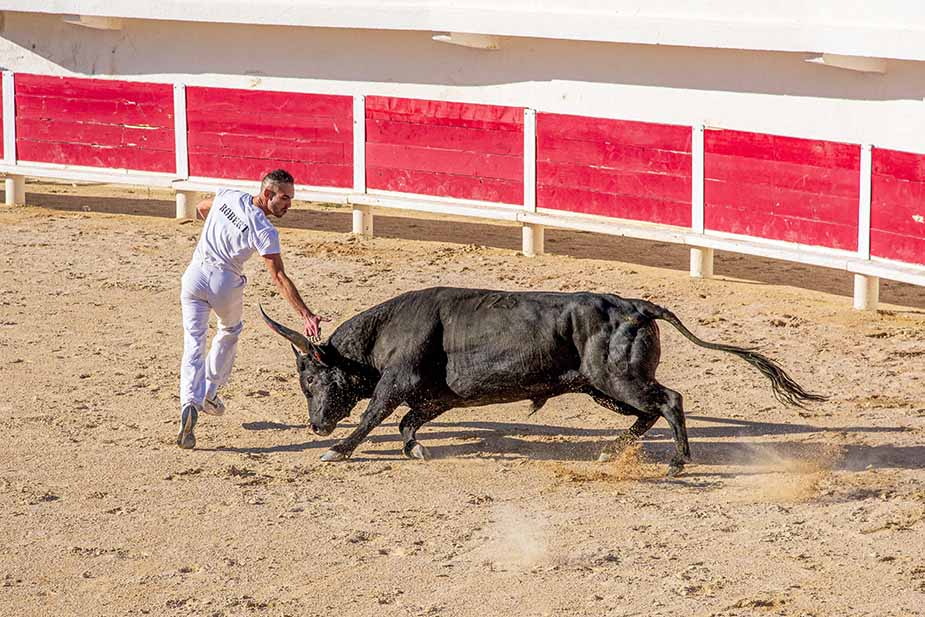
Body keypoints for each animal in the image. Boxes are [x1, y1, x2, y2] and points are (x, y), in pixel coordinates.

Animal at [260, 286, 824, 474]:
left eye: (311, 379)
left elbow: (376, 416)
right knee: (649, 411)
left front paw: (337, 452)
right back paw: (612, 450)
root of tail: (638, 307)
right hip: (602, 387)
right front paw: (415, 449)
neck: (385, 334)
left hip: (616, 378)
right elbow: (407, 424)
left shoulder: (397, 383)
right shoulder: (437, 398)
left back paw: (678, 463)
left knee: (670, 400)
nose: (316, 427)